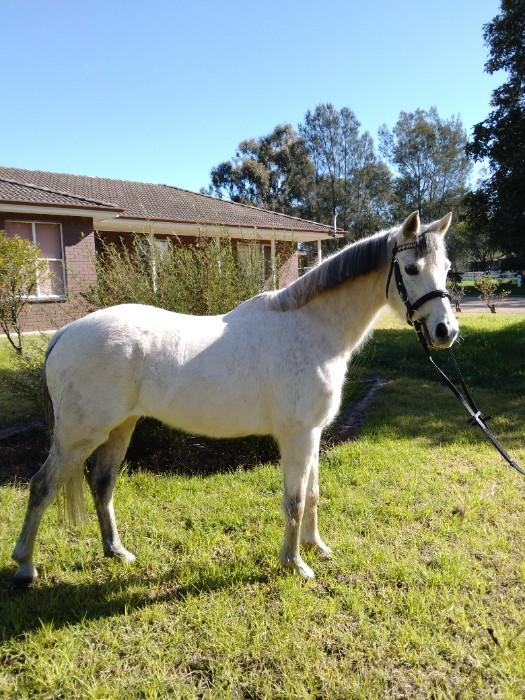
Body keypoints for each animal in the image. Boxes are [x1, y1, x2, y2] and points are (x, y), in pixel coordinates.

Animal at [12, 210, 458, 584]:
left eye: (447, 268)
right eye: (412, 268)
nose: (445, 331)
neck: (310, 329)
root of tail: (65, 334)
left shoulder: (313, 434)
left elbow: (312, 494)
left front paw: (317, 547)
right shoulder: (297, 436)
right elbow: (295, 500)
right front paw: (295, 564)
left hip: (119, 428)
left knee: (102, 484)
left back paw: (117, 552)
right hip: (78, 435)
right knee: (41, 487)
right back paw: (25, 567)